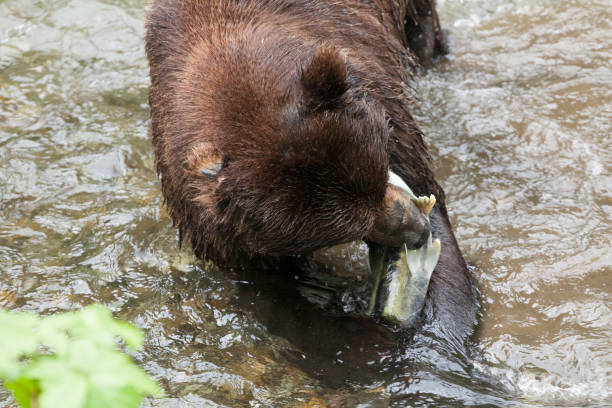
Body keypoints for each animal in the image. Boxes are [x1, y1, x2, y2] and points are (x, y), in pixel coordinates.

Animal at [146, 0, 476, 338]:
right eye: (353, 229)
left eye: (379, 180)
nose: (418, 231)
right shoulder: (212, 219)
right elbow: (269, 288)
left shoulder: (384, 110)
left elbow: (426, 190)